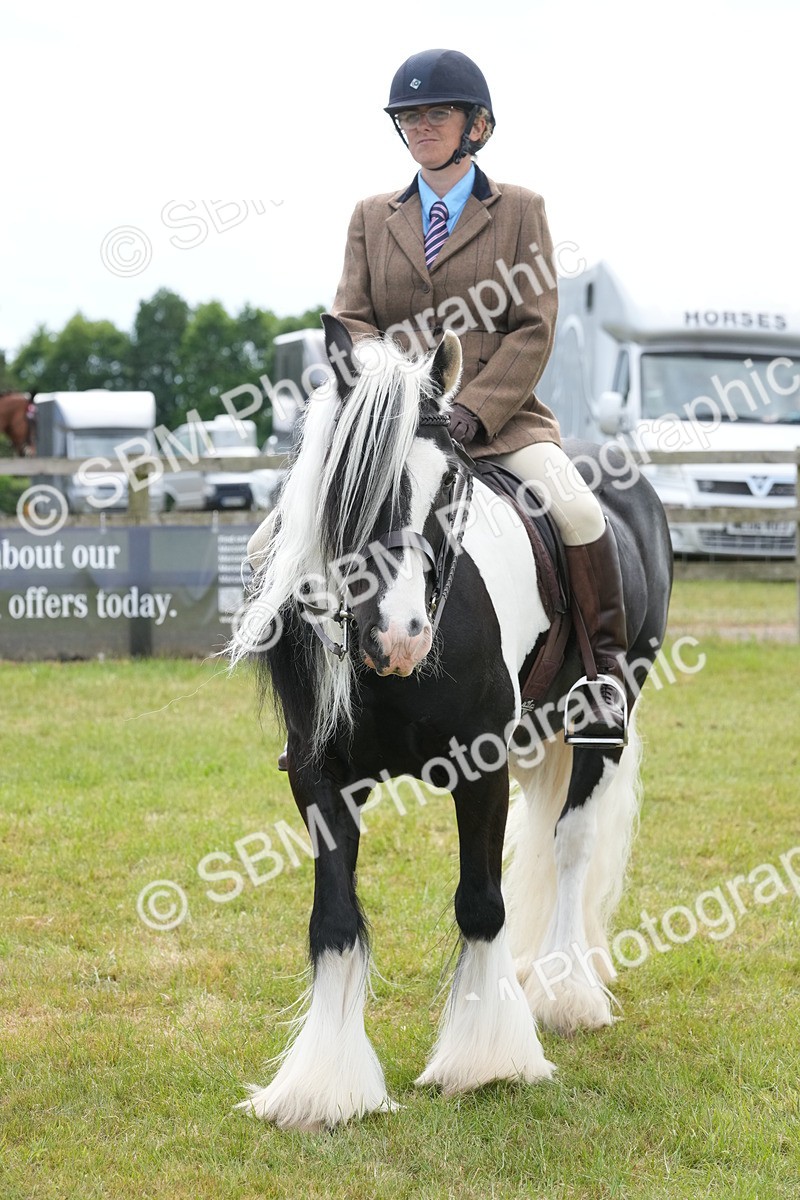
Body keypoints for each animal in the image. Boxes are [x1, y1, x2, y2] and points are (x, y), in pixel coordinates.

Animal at [231, 315, 673, 1131]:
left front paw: (487, 1059)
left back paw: (565, 993)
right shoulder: (319, 776)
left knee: (570, 844)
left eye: (453, 483)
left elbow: (481, 901)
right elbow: (333, 919)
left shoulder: (482, 764)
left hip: (602, 718)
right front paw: (323, 1086)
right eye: (353, 483)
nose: (400, 635)